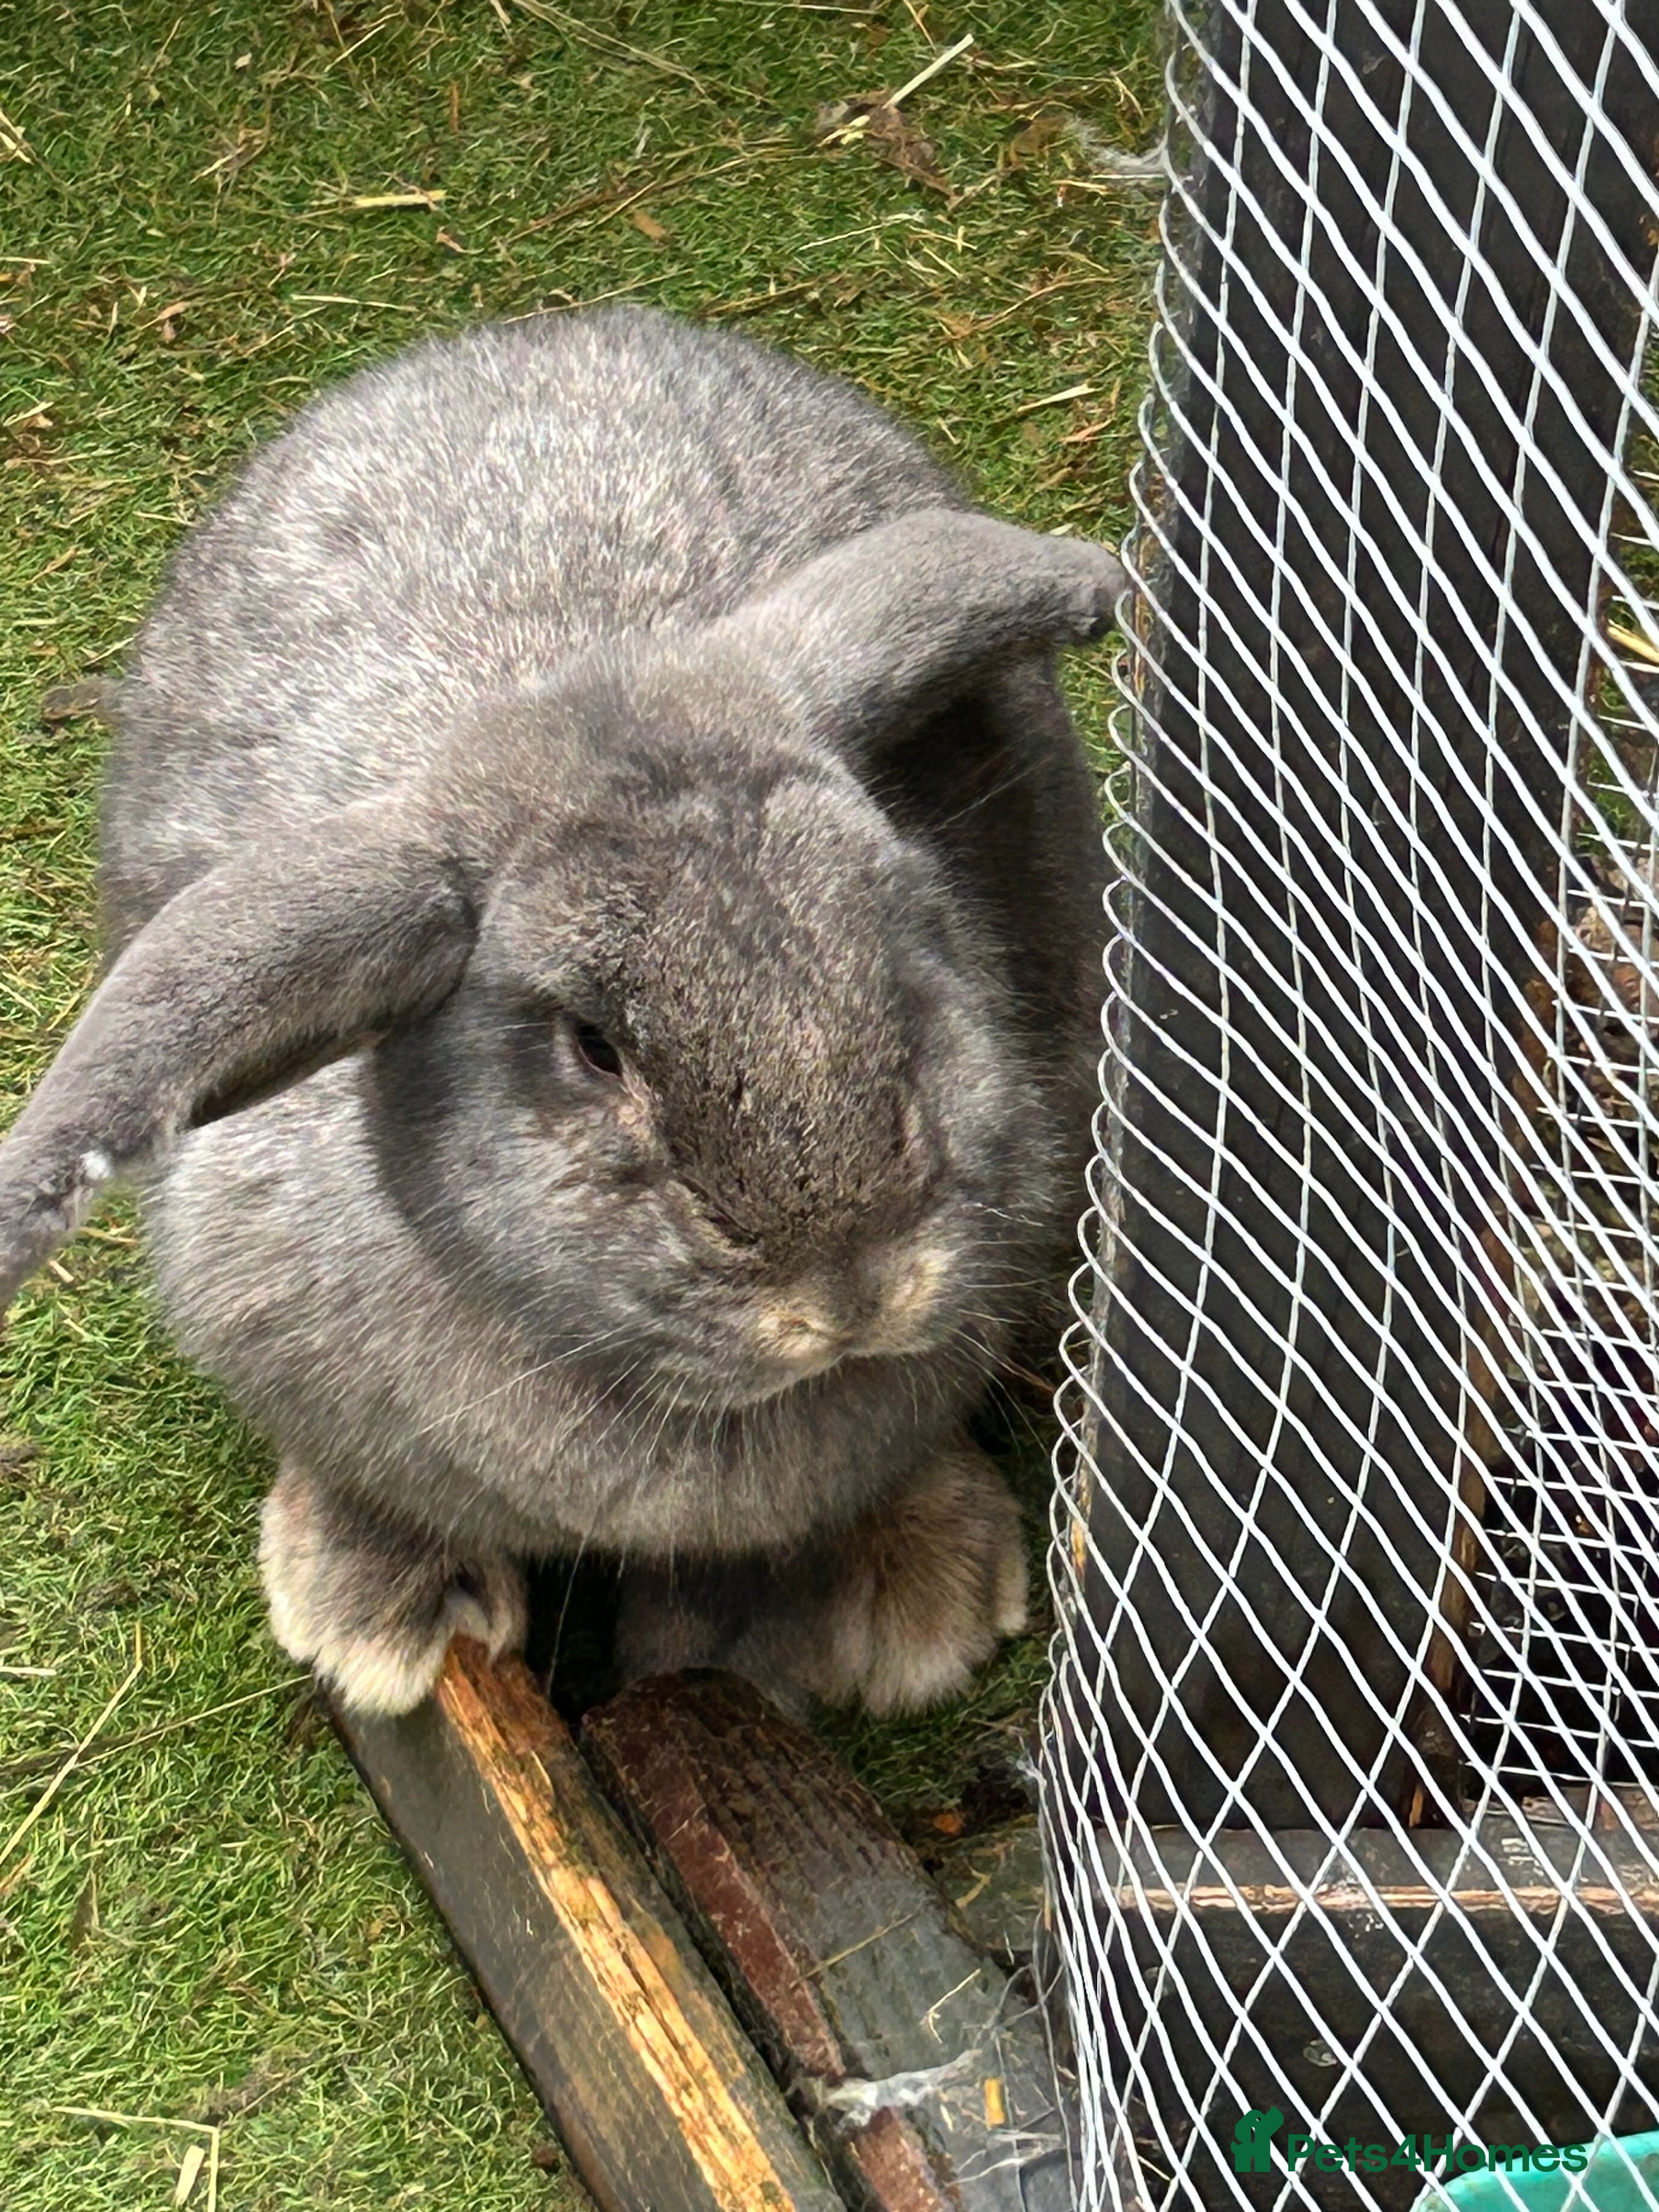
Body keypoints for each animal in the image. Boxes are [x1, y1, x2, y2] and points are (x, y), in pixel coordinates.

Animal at [0, 305, 1122, 1719]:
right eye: (593, 1048)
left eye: (916, 912)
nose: (856, 1291)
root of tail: (541, 336)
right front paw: (383, 1617)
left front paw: (883, 1604)